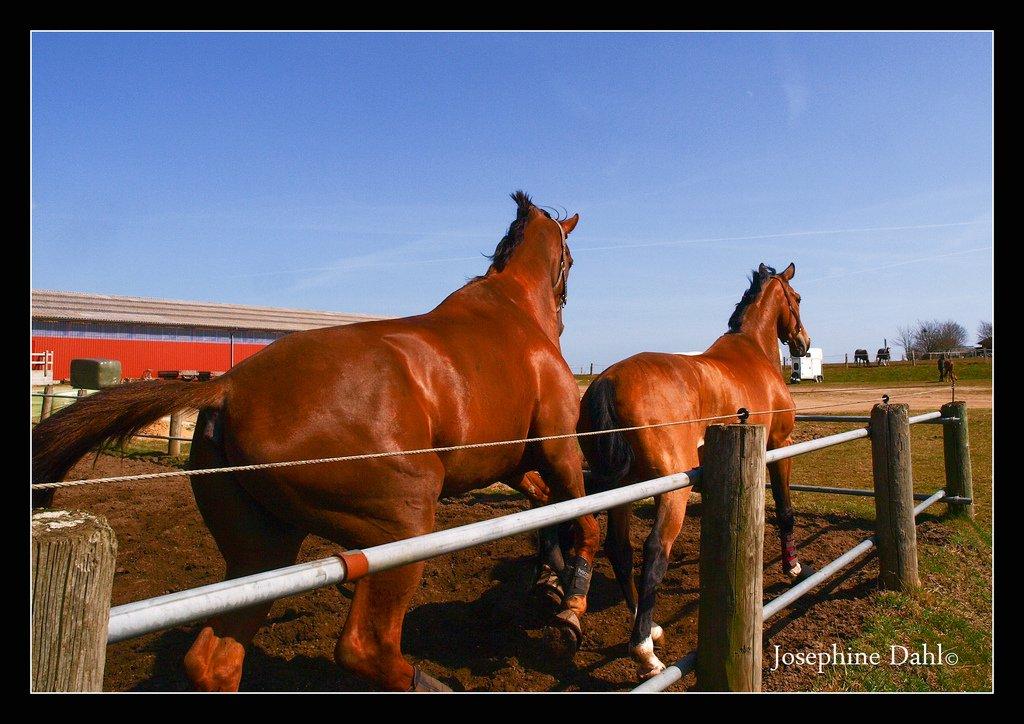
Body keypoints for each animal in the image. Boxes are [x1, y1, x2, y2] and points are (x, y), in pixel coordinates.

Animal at [29, 191, 598, 692]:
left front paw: (550, 581)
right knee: (364, 648)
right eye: (570, 260)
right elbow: (584, 522)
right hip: (404, 524)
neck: (513, 312)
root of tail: (228, 387)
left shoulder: (516, 466)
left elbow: (548, 511)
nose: (566, 308)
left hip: (262, 552)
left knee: (214, 661)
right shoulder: (560, 450)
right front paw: (569, 609)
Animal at [581, 262, 811, 679]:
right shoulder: (779, 445)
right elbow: (785, 511)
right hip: (672, 492)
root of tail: (607, 381)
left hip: (623, 487)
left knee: (620, 549)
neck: (753, 352)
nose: (803, 341)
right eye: (797, 297)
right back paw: (645, 652)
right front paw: (792, 567)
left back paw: (651, 628)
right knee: (655, 550)